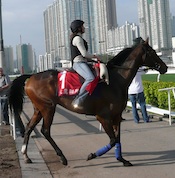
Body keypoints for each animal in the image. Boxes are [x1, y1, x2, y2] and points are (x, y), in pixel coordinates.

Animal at [8, 38, 167, 167]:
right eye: (152, 51)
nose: (165, 67)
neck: (115, 81)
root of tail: (32, 76)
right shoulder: (103, 116)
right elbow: (112, 140)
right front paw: (92, 155)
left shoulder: (116, 116)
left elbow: (117, 139)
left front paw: (122, 160)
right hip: (48, 107)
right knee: (45, 131)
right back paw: (62, 157)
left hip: (39, 108)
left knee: (29, 128)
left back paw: (26, 156)